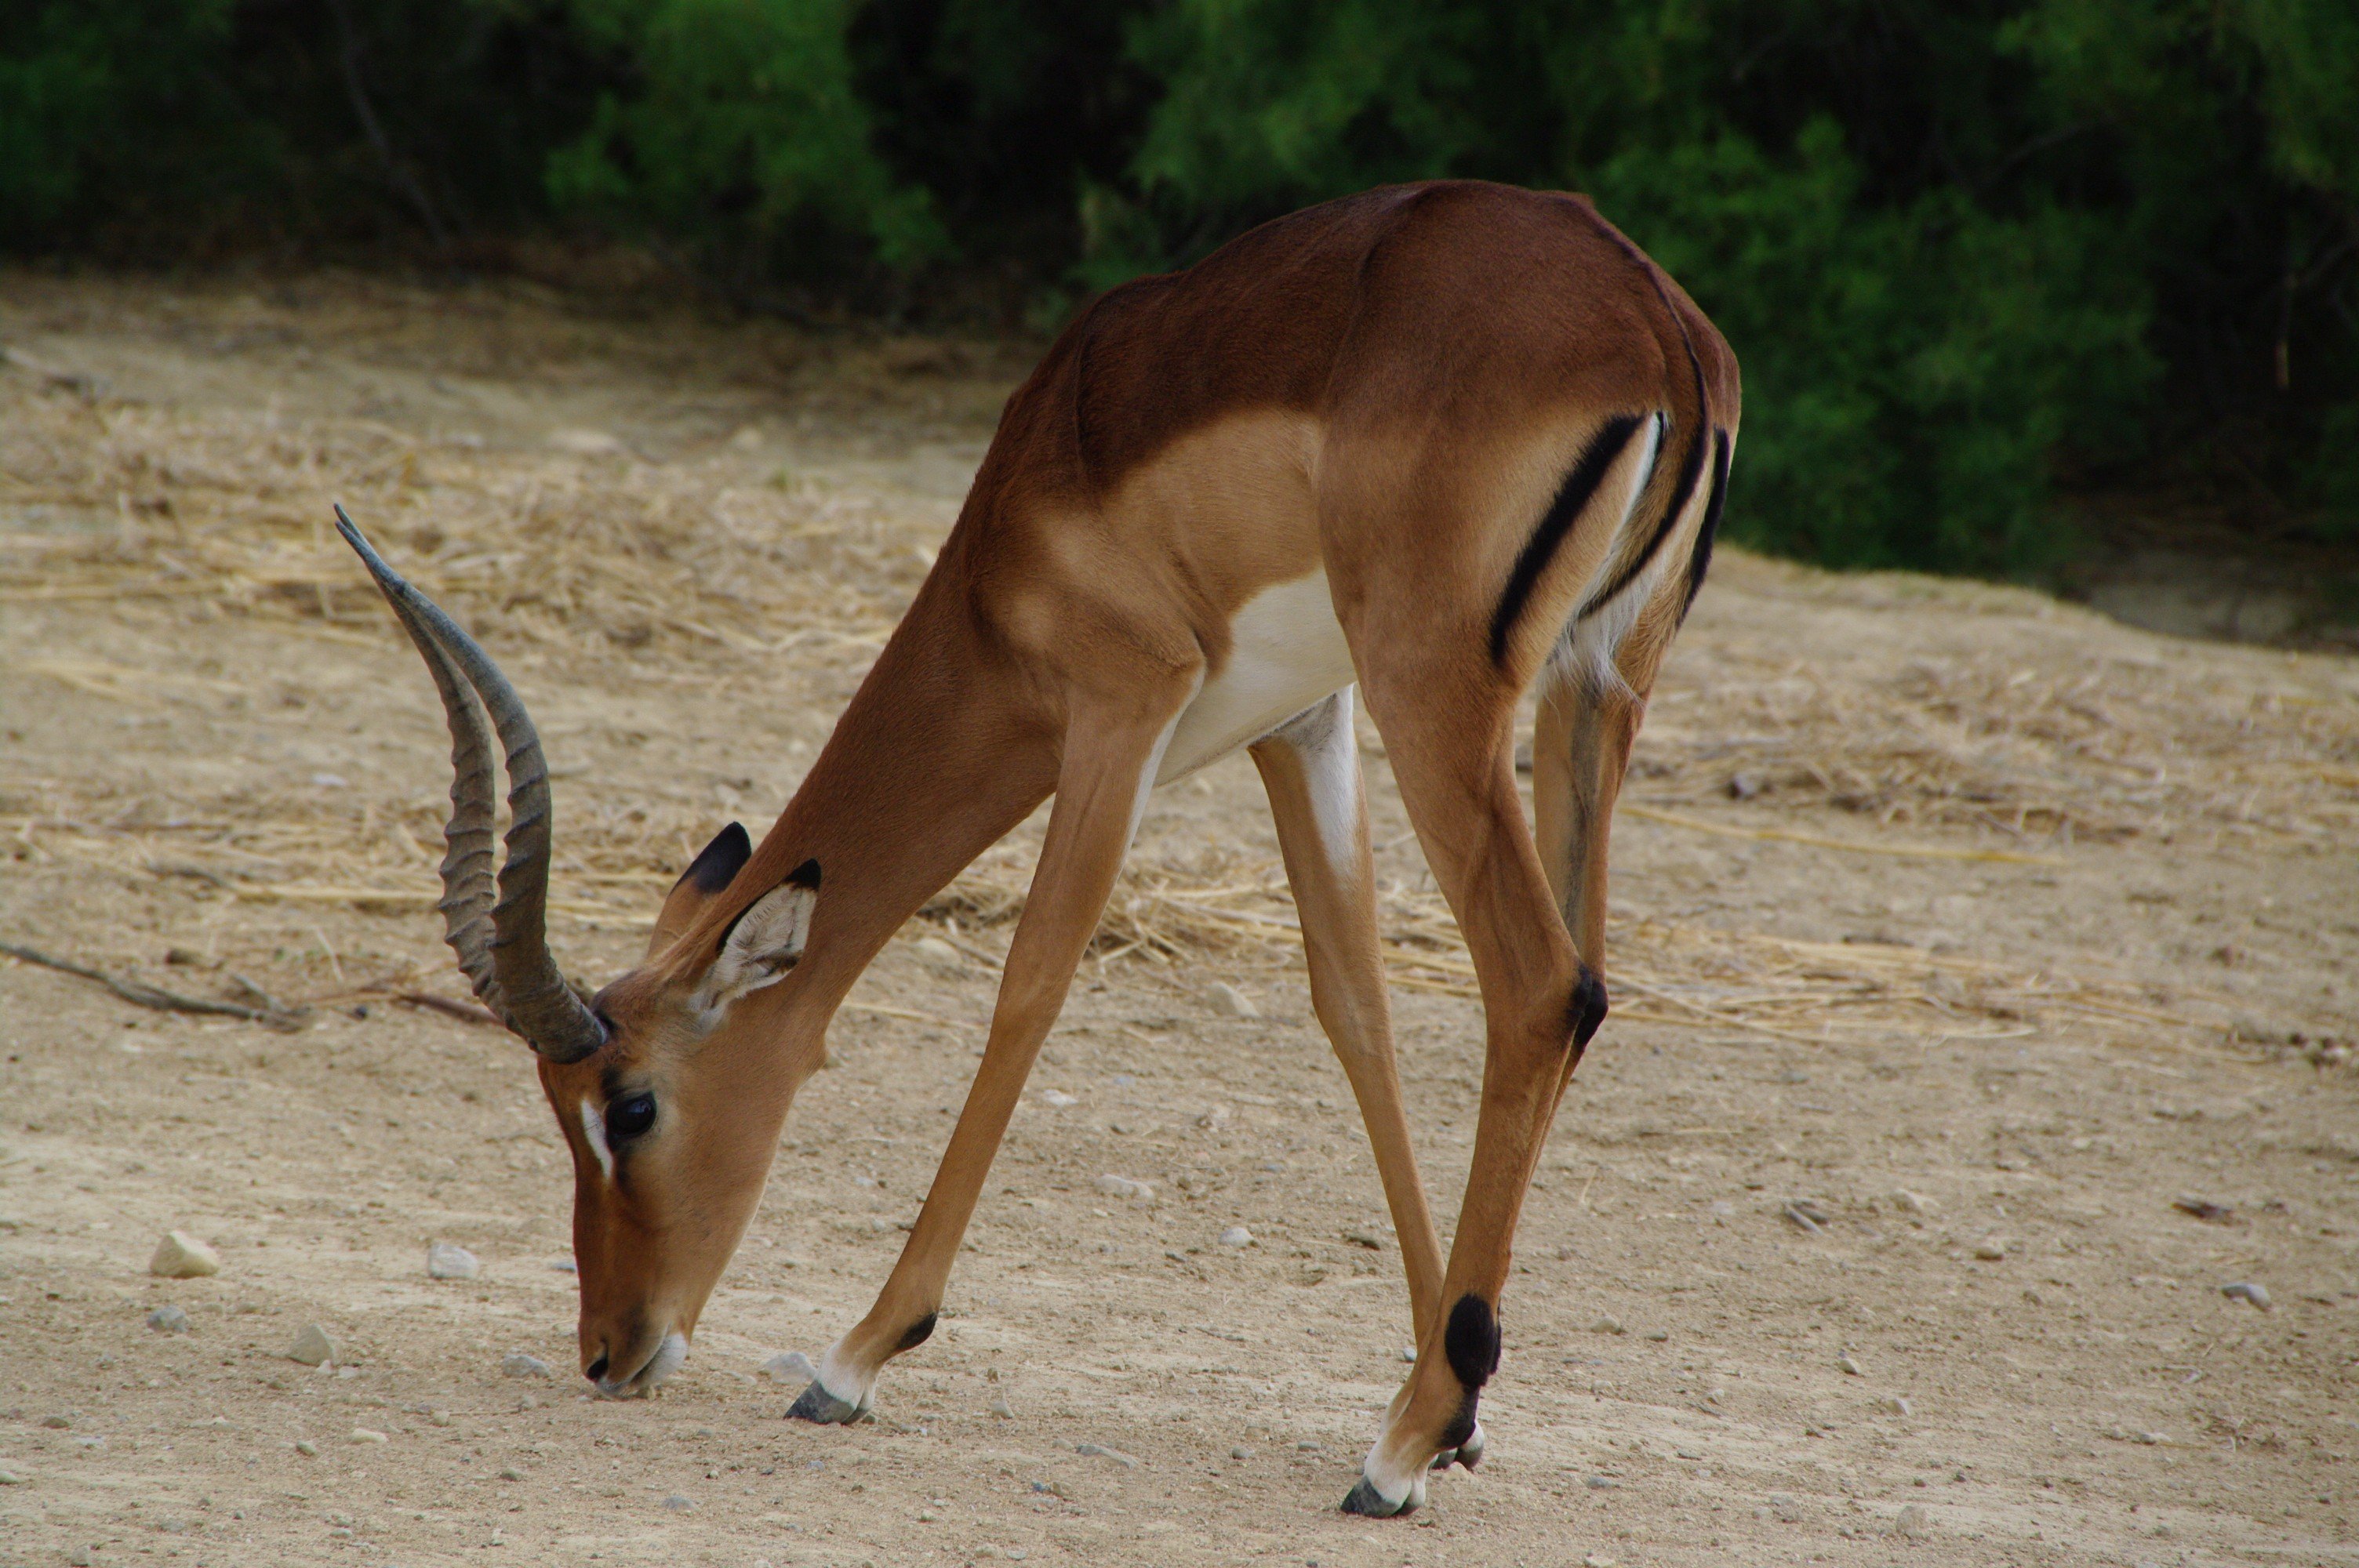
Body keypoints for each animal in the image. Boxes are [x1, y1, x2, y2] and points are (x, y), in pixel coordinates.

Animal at [337, 180, 1736, 1518]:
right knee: (1566, 992)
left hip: (1437, 691)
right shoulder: (1300, 726)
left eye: (630, 1108)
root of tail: (1657, 326)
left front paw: (853, 1362)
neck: (1017, 529)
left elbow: (1032, 985)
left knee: (1542, 987)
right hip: (1593, 691)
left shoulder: (1122, 711)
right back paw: (1432, 1410)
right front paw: (1467, 1416)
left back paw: (1389, 1460)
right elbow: (1355, 1012)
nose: (609, 1353)